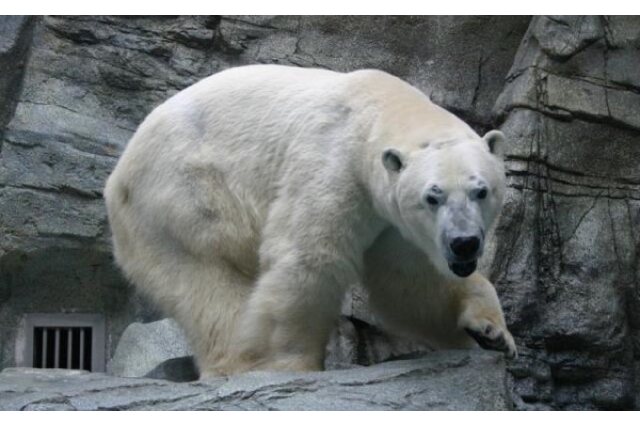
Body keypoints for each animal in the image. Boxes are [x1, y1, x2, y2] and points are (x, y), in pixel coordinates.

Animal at [104, 63, 516, 376]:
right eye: (433, 196)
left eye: (481, 190)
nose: (464, 243)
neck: (374, 108)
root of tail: (116, 179)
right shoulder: (332, 164)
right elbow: (310, 258)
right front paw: (288, 363)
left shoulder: (392, 220)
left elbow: (407, 282)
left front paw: (491, 331)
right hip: (180, 197)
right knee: (208, 281)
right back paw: (242, 363)